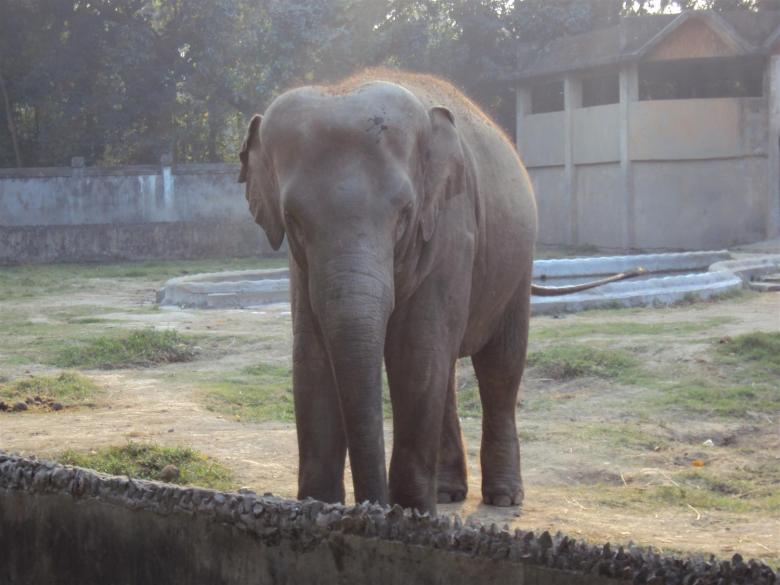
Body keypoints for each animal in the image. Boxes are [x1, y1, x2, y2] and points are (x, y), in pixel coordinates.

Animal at [238, 70, 640, 515]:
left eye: (404, 214)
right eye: (292, 219)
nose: (372, 507)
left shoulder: (450, 229)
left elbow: (416, 351)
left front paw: (411, 515)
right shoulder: (300, 264)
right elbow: (311, 355)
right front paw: (318, 507)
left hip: (518, 266)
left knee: (499, 366)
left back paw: (503, 497)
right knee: (446, 371)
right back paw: (448, 493)